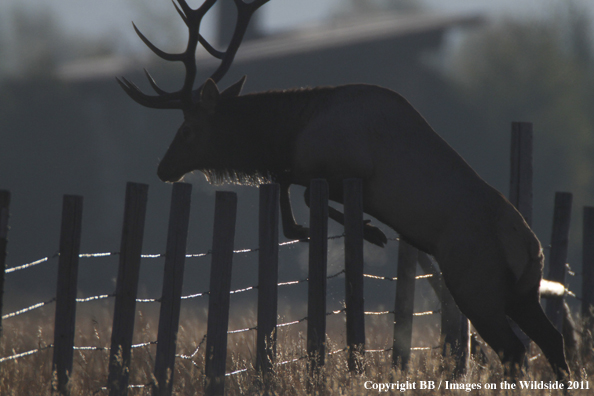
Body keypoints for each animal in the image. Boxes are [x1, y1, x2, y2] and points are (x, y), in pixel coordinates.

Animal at [117, 0, 568, 382]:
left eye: (187, 130)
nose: (163, 168)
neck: (294, 131)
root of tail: (530, 249)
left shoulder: (349, 169)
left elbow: (295, 187)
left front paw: (365, 231)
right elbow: (285, 181)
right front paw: (340, 229)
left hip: (477, 286)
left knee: (514, 350)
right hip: (522, 294)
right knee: (553, 339)